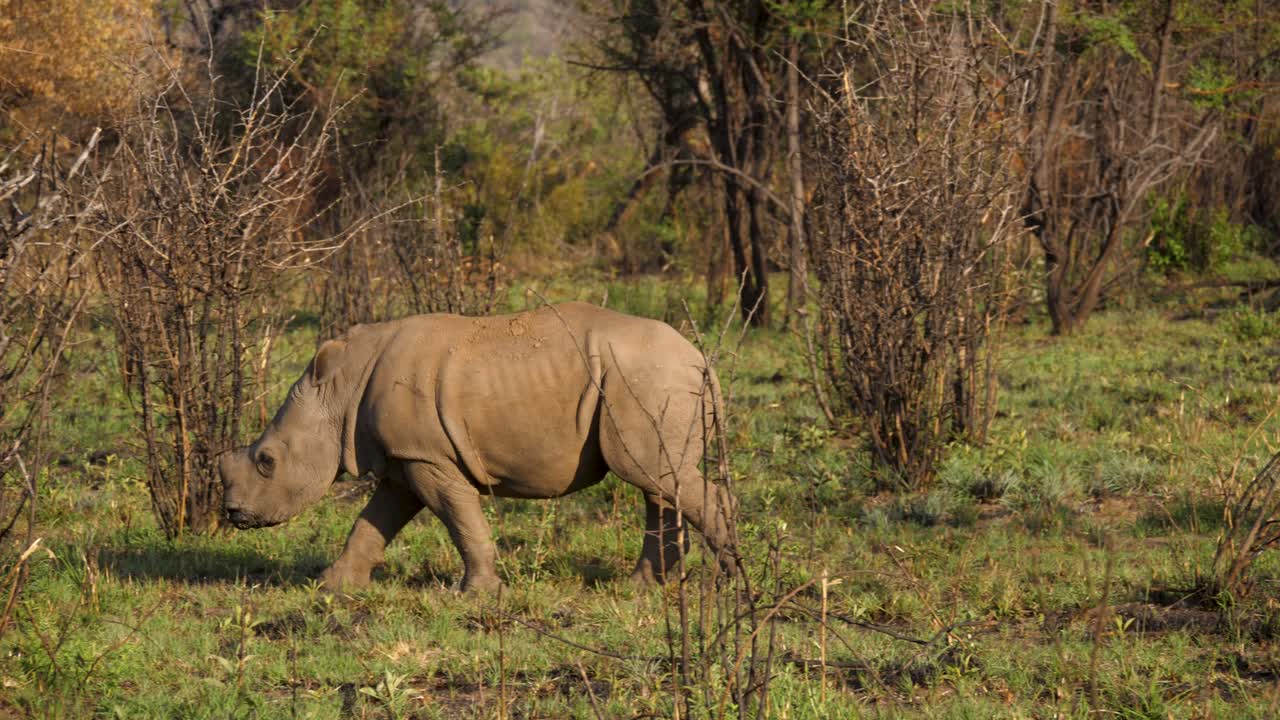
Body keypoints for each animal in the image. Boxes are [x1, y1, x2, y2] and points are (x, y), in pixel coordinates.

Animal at [218, 302, 737, 591]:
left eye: (267, 461)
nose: (233, 513)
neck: (339, 391)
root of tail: (700, 359)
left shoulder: (426, 456)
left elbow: (458, 516)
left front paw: (478, 592)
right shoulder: (406, 456)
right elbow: (372, 522)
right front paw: (332, 587)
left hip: (647, 379)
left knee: (654, 477)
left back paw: (732, 581)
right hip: (649, 383)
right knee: (658, 483)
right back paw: (640, 589)